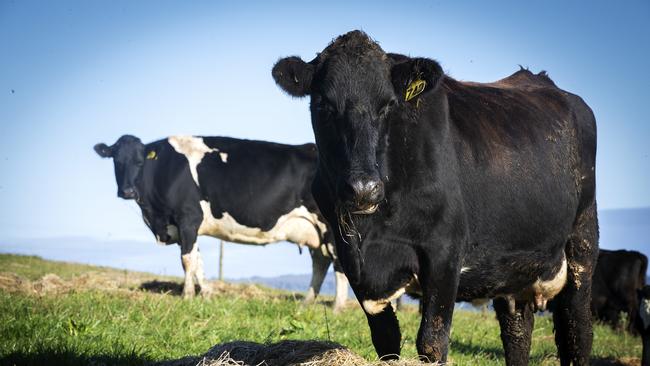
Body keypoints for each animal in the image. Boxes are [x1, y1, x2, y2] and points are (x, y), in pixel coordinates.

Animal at [93, 134, 346, 312]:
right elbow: (198, 262)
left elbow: (187, 260)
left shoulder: (188, 217)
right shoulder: (185, 227)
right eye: (117, 161)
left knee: (338, 264)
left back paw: (338, 308)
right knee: (320, 263)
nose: (127, 191)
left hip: (331, 226)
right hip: (315, 231)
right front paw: (206, 295)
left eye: (139, 162)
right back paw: (305, 304)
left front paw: (187, 296)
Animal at [270, 30, 596, 364]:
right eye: (324, 105)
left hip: (582, 242)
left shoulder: (445, 252)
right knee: (517, 331)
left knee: (577, 328)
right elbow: (386, 341)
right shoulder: (353, 261)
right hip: (514, 265)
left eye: (387, 105)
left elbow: (431, 342)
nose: (363, 188)